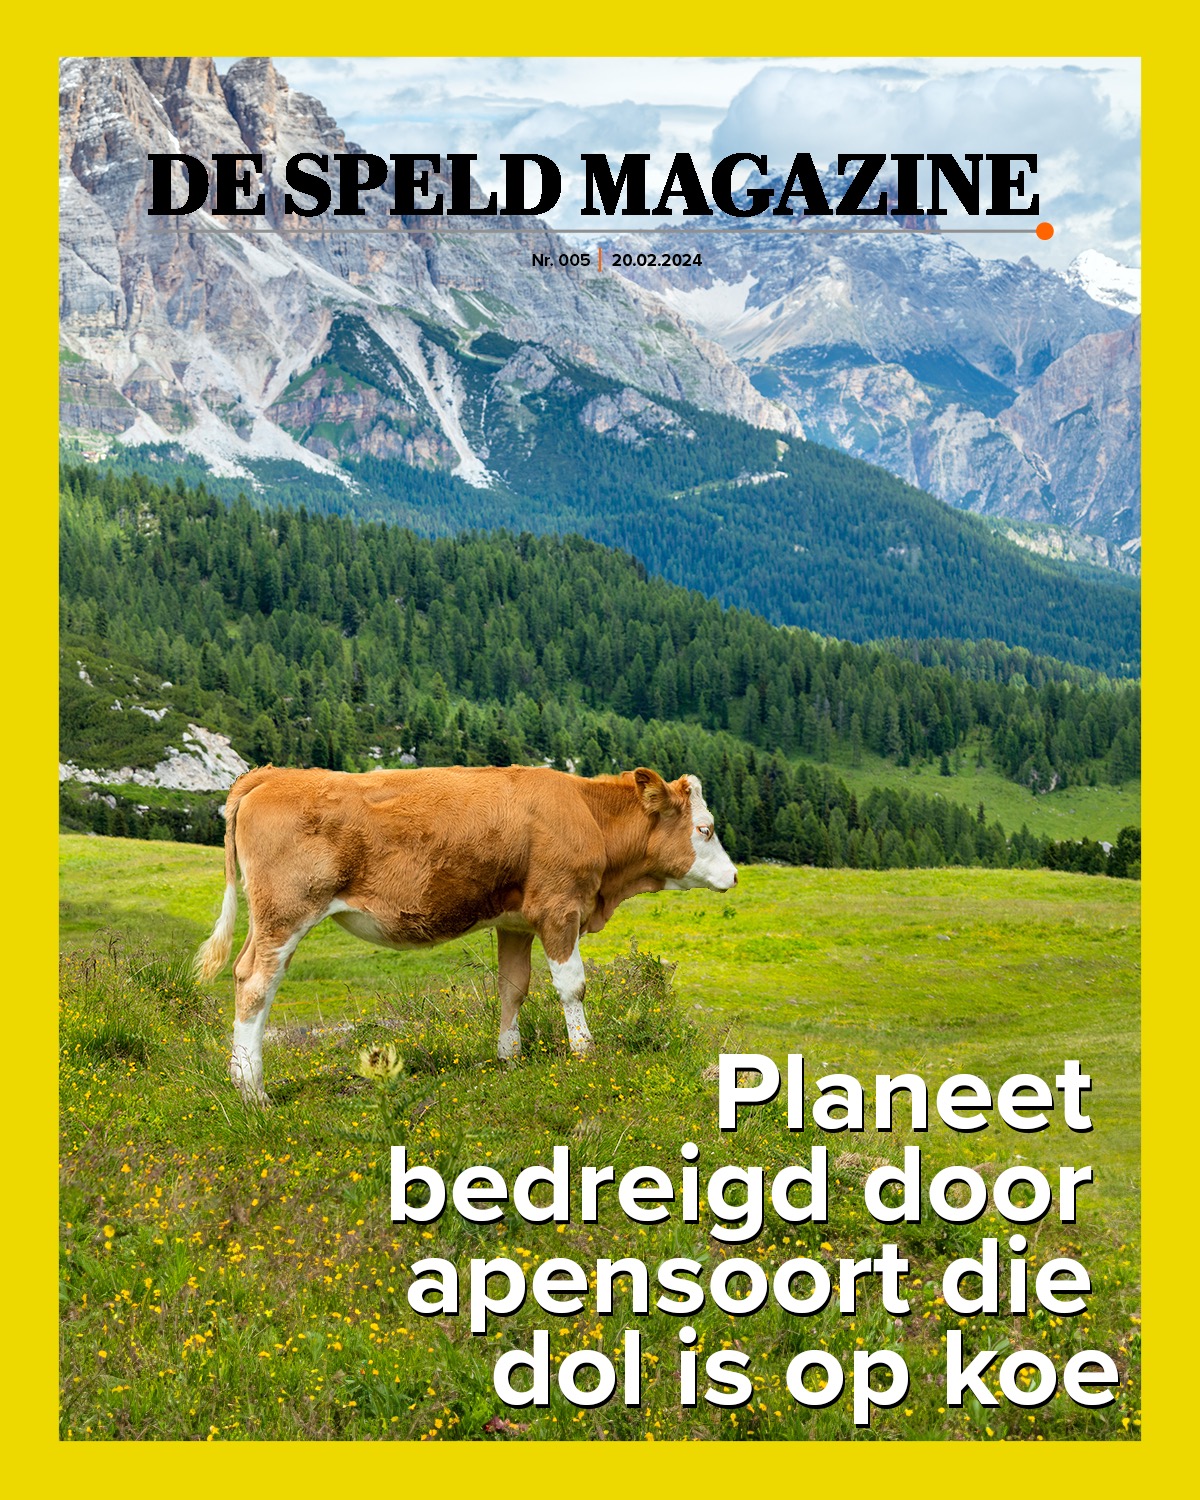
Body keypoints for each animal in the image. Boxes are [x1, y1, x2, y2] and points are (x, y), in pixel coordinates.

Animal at [193, 764, 738, 1101]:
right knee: (256, 985)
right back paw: (254, 1091)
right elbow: (572, 985)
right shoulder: (559, 908)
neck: (586, 813)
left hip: (266, 919)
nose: (734, 875)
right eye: (706, 829)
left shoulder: (517, 921)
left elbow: (513, 988)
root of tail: (272, 775)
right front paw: (585, 1052)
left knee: (244, 973)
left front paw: (509, 1058)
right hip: (286, 912)